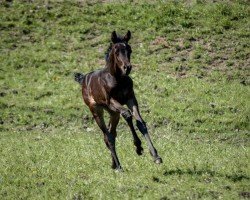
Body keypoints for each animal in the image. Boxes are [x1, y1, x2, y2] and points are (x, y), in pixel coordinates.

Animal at [73, 30, 162, 171]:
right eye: (116, 51)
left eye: (129, 50)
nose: (127, 67)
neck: (118, 79)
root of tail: (84, 79)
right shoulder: (111, 101)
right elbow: (127, 114)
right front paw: (138, 147)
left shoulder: (131, 98)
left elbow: (141, 123)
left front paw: (155, 156)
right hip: (97, 110)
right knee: (108, 136)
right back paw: (119, 167)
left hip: (113, 113)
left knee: (111, 133)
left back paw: (114, 164)